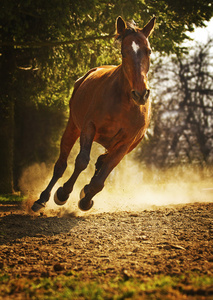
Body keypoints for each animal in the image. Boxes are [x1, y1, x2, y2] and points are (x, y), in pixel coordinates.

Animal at [31, 15, 155, 212]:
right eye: (124, 52)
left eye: (148, 51)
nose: (141, 94)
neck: (124, 103)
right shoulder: (89, 127)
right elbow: (82, 161)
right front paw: (63, 193)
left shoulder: (126, 143)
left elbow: (102, 176)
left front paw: (86, 199)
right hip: (73, 127)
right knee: (61, 164)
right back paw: (42, 199)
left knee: (101, 162)